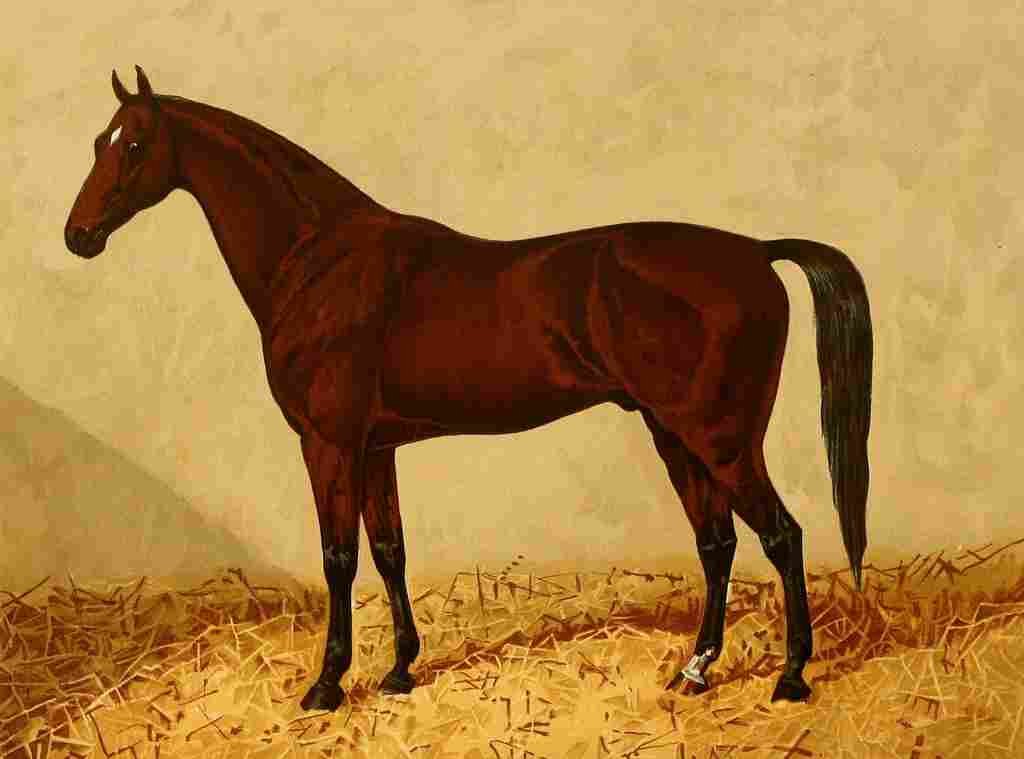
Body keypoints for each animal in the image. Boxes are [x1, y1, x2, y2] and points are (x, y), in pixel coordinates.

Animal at [65, 67, 872, 711]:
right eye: (98, 140)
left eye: (132, 145)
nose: (78, 236)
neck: (320, 260)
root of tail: (757, 252)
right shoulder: (376, 447)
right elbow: (389, 549)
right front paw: (399, 671)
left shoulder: (328, 444)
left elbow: (338, 557)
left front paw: (327, 685)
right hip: (674, 433)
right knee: (717, 542)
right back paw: (696, 670)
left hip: (721, 438)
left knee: (782, 535)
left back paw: (792, 676)